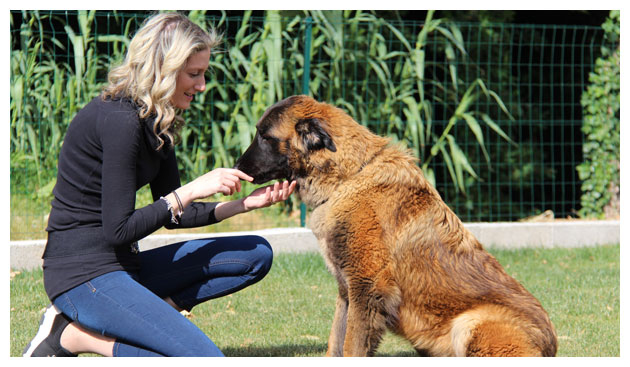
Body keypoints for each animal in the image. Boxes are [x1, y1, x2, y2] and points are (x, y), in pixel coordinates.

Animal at [235, 96, 560, 358]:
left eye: (264, 137)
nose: (236, 166)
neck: (349, 177)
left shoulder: (366, 286)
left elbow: (352, 346)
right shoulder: (347, 290)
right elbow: (336, 342)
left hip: (470, 323)